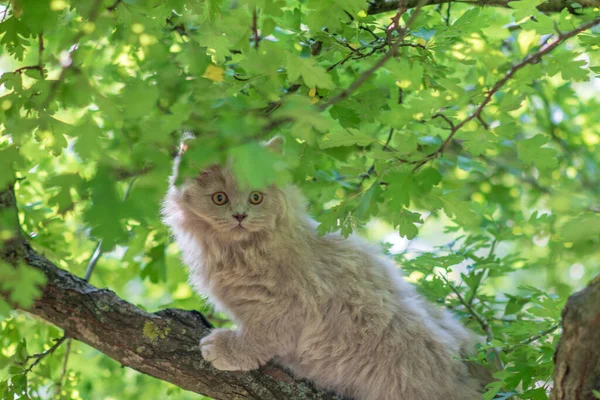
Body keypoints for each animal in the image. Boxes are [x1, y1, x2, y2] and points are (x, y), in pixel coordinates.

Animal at [163, 138, 482, 400]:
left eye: (256, 197)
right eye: (220, 198)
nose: (240, 215)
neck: (238, 250)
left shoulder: (287, 304)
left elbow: (263, 337)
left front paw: (228, 349)